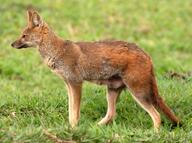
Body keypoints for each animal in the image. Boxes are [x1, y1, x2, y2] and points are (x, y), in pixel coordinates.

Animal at [11, 9, 180, 131]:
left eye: (24, 36)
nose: (11, 44)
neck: (57, 51)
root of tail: (146, 54)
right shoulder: (69, 85)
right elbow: (71, 112)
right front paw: (71, 129)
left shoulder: (76, 83)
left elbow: (75, 113)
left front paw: (74, 129)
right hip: (112, 92)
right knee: (112, 114)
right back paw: (94, 128)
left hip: (138, 94)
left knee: (157, 116)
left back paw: (154, 134)